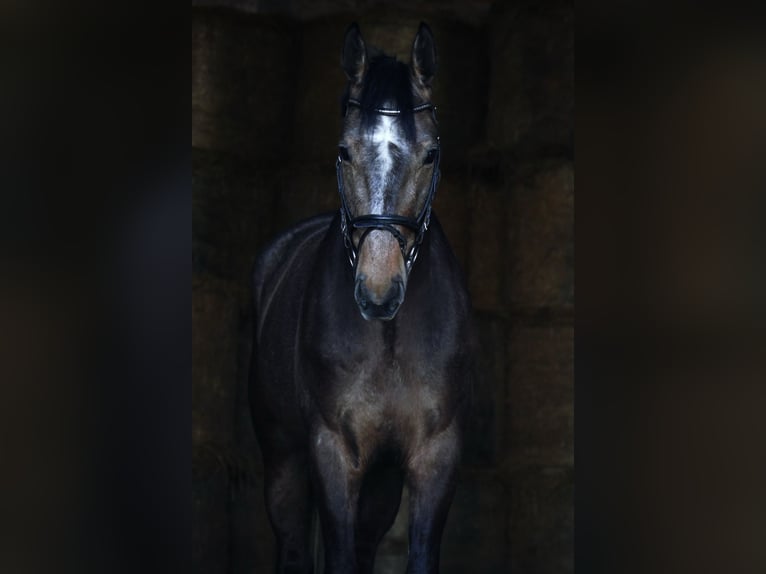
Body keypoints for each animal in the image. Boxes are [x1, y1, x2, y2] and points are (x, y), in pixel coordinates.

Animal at [249, 22, 474, 574]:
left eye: (430, 153)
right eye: (343, 151)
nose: (378, 290)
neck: (388, 339)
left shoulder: (435, 454)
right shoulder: (333, 451)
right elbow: (339, 555)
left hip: (382, 480)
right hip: (283, 458)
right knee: (292, 547)